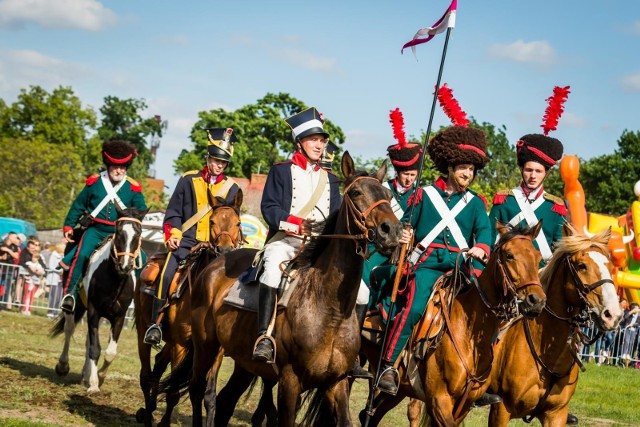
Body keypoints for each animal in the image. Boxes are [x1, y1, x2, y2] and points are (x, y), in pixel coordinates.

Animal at [50, 206, 148, 394]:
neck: (114, 279)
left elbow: (110, 352)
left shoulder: (119, 317)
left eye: (138, 233)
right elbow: (95, 349)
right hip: (76, 305)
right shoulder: (94, 311)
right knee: (69, 329)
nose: (125, 266)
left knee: (88, 340)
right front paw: (95, 384)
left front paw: (99, 377)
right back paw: (64, 366)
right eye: (119, 232)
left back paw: (85, 375)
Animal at [134, 193, 242, 427]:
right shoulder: (182, 345)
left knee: (157, 367)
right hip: (142, 330)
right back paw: (147, 416)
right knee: (146, 375)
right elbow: (174, 392)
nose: (225, 252)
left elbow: (209, 395)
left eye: (238, 223)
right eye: (212, 221)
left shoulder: (215, 351)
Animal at [159, 152, 400, 426]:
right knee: (198, 390)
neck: (329, 310)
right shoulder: (290, 381)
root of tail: (214, 264)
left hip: (243, 363)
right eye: (357, 192)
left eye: (388, 194)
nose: (391, 231)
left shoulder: (336, 384)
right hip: (205, 347)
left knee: (224, 401)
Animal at [362, 222, 548, 427]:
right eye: (509, 255)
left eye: (538, 257)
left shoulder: (463, 405)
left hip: (399, 391)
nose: (536, 301)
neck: (469, 333)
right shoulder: (439, 400)